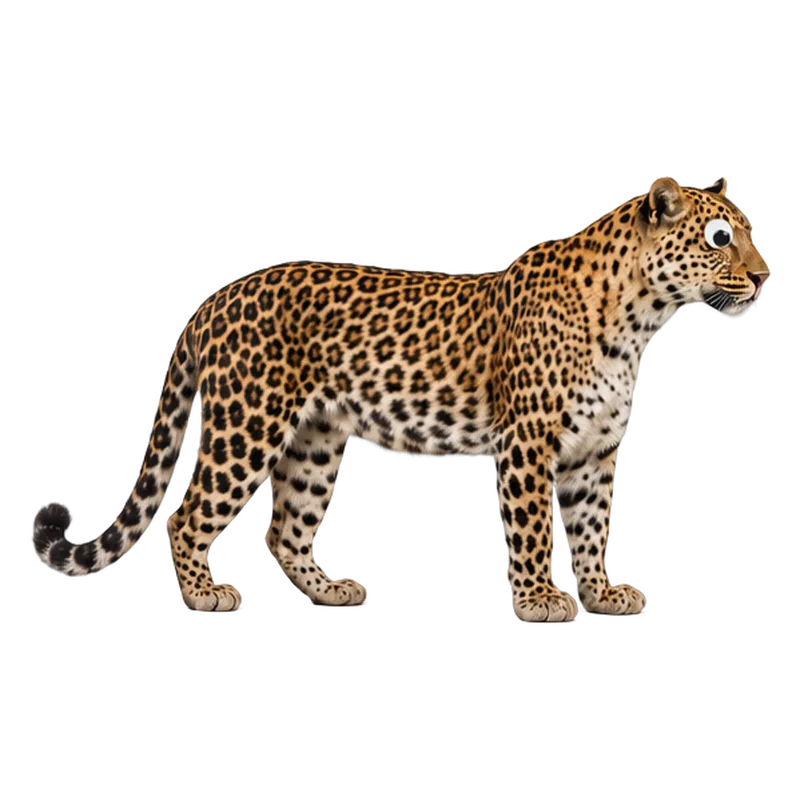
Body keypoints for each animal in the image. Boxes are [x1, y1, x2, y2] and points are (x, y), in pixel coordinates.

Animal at [32, 175, 770, 621]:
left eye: (751, 232)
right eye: (719, 239)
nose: (766, 276)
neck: (640, 318)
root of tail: (212, 301)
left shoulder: (594, 451)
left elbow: (592, 527)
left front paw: (599, 591)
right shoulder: (528, 442)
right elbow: (534, 528)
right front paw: (538, 599)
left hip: (316, 440)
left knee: (285, 529)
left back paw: (332, 590)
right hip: (250, 426)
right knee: (187, 514)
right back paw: (204, 593)